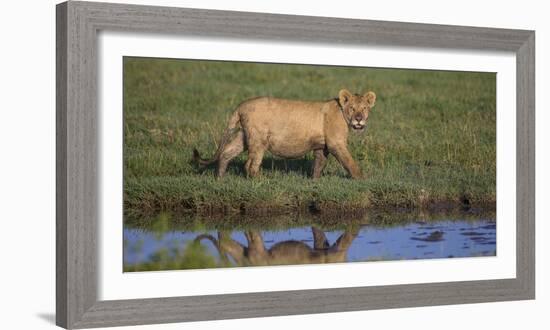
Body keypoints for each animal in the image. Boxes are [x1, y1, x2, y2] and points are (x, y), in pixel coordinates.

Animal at [192, 88, 378, 178]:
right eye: (352, 108)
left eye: (364, 108)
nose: (359, 119)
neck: (342, 113)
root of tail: (241, 105)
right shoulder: (336, 143)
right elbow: (350, 163)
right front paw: (362, 180)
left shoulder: (322, 146)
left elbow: (318, 165)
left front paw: (314, 182)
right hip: (259, 140)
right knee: (250, 165)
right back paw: (262, 182)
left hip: (244, 136)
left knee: (226, 153)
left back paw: (219, 178)